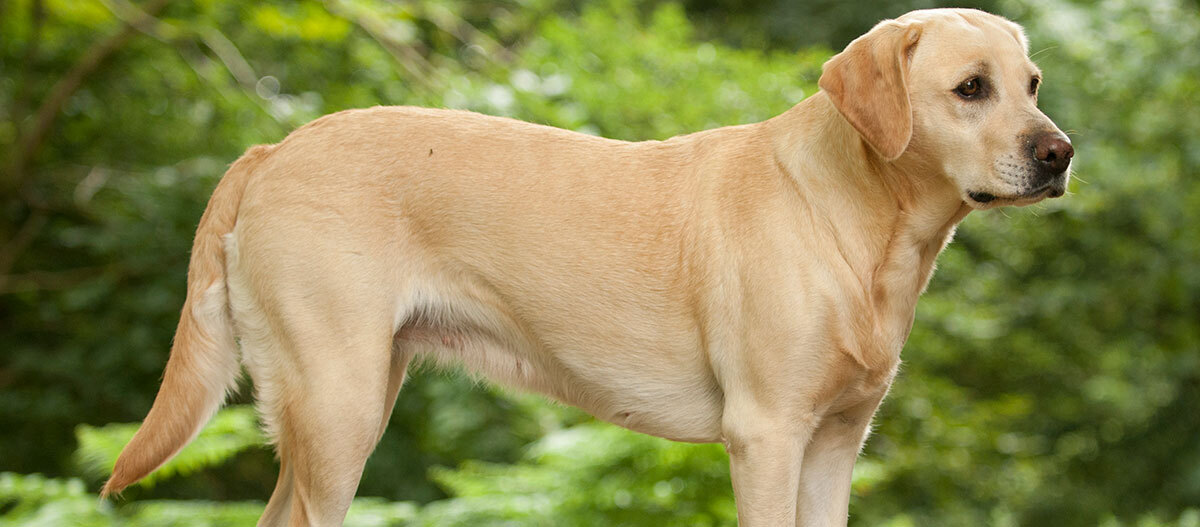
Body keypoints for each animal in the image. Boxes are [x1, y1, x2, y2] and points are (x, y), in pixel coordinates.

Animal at [103, 8, 1075, 527]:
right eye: (971, 88)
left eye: (1031, 83)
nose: (1062, 154)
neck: (860, 225)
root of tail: (271, 149)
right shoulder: (766, 434)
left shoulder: (836, 444)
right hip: (336, 411)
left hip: (351, 402)